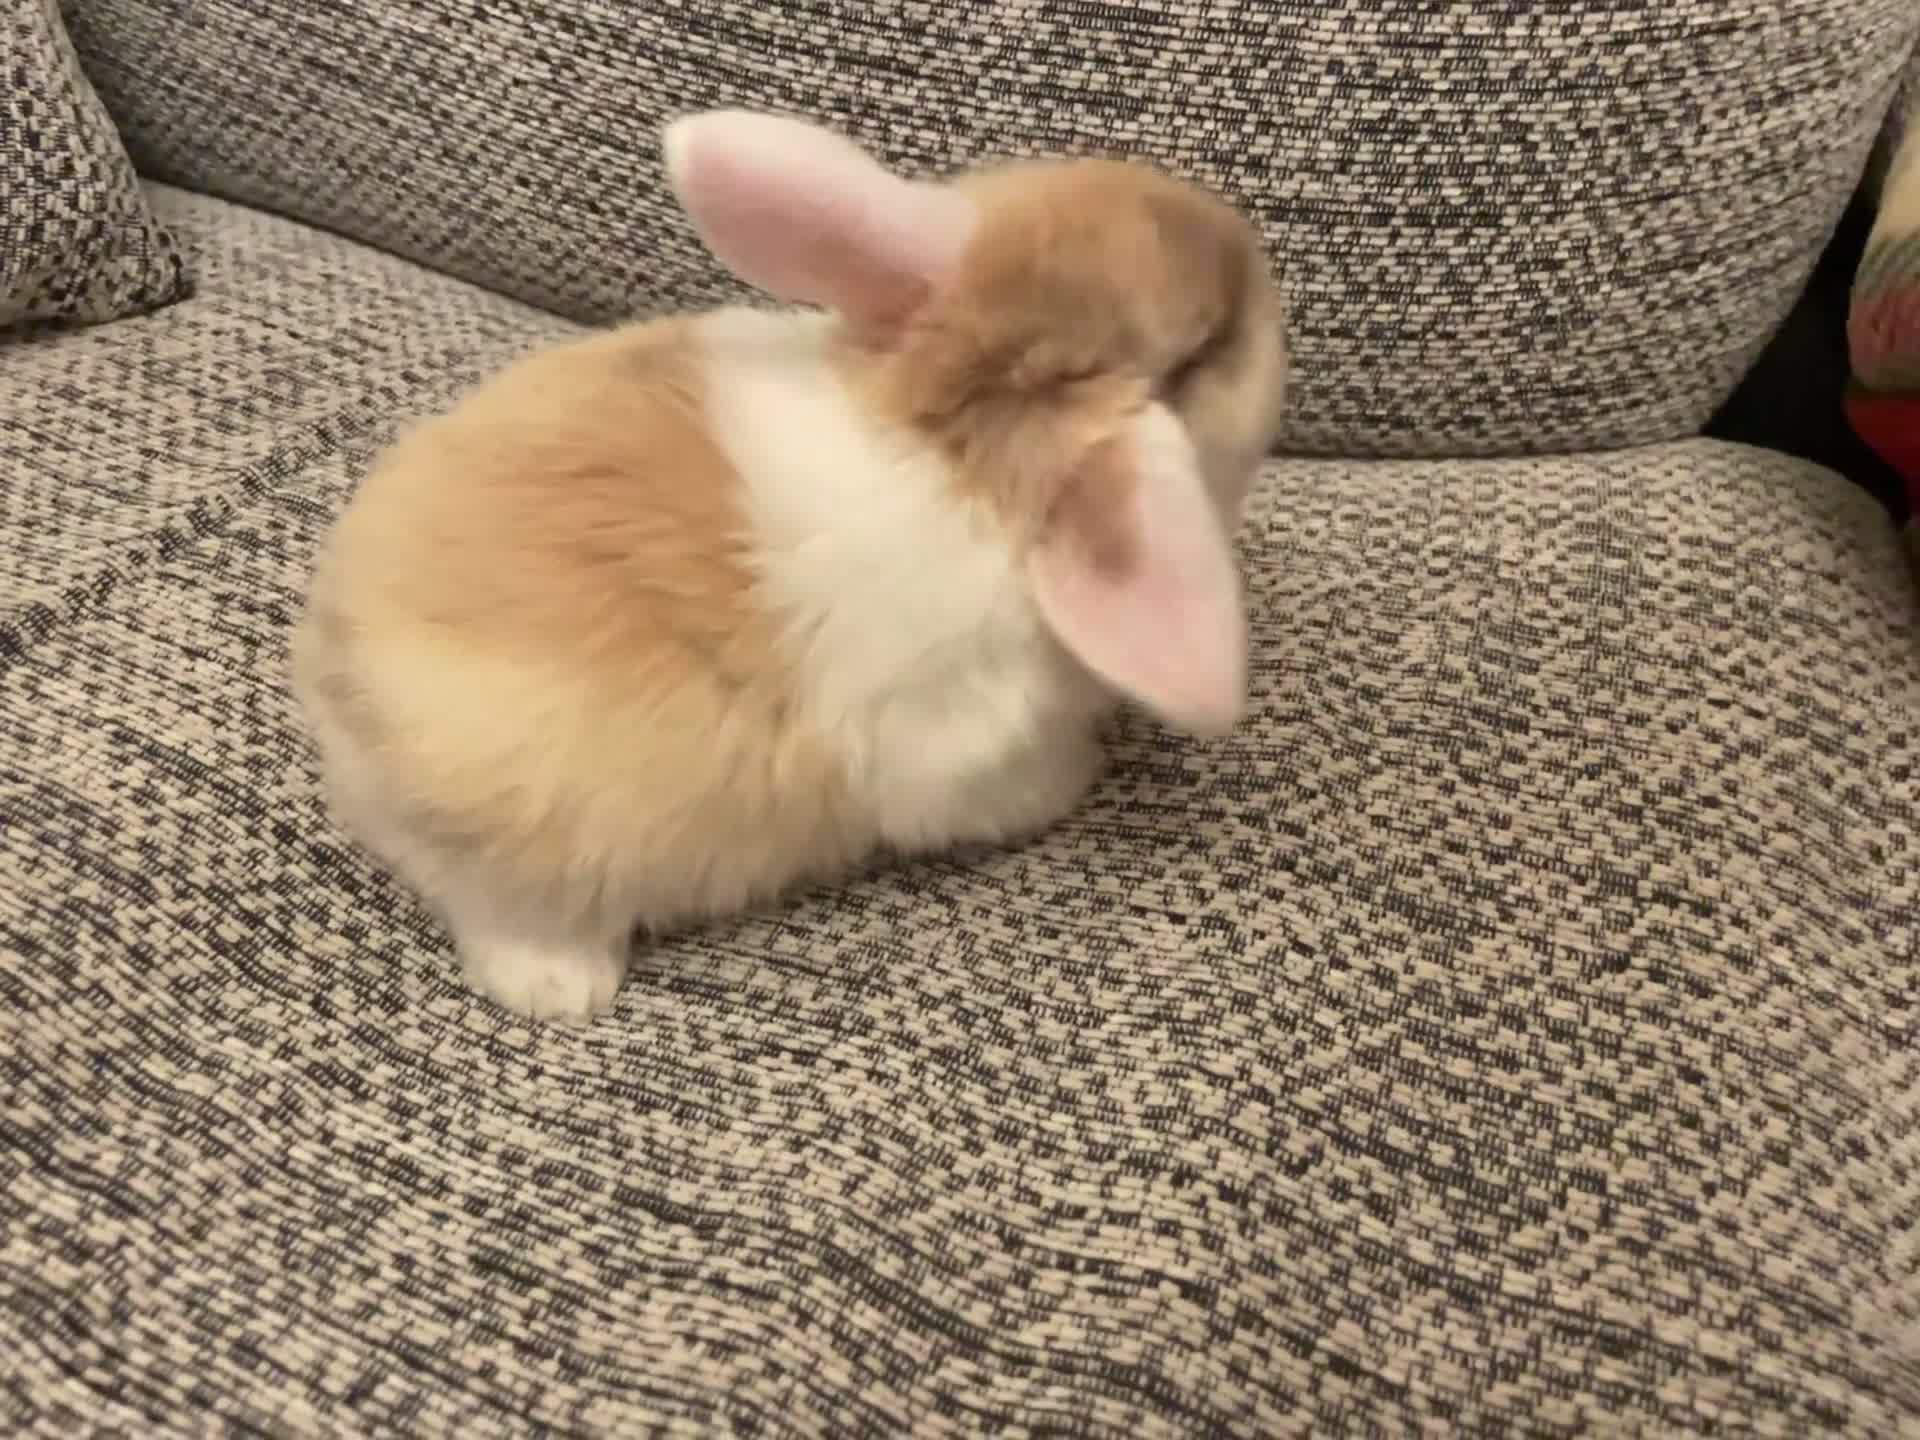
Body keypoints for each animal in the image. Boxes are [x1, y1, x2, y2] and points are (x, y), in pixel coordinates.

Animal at [290, 109, 1289, 1022]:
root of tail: (337, 685)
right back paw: (566, 989)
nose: (1246, 247)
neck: (956, 441)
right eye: (1204, 347)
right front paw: (1084, 774)